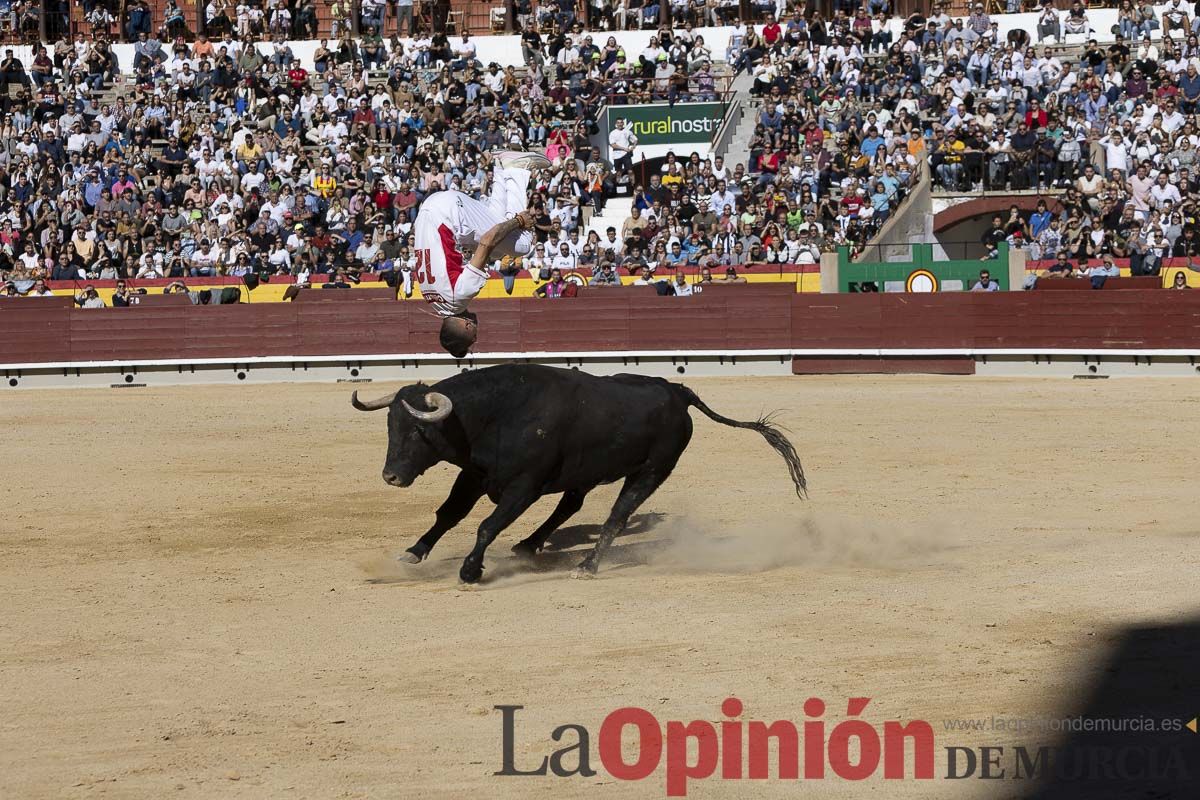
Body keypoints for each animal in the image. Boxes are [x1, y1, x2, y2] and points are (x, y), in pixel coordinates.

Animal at [350, 364, 811, 582]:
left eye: (420, 431)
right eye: (390, 425)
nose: (391, 476)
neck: (494, 415)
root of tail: (677, 391)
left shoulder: (523, 487)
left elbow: (487, 525)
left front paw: (470, 571)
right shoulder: (476, 475)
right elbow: (449, 514)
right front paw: (413, 553)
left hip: (651, 471)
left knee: (616, 517)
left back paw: (587, 566)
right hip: (589, 470)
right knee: (570, 506)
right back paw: (529, 546)